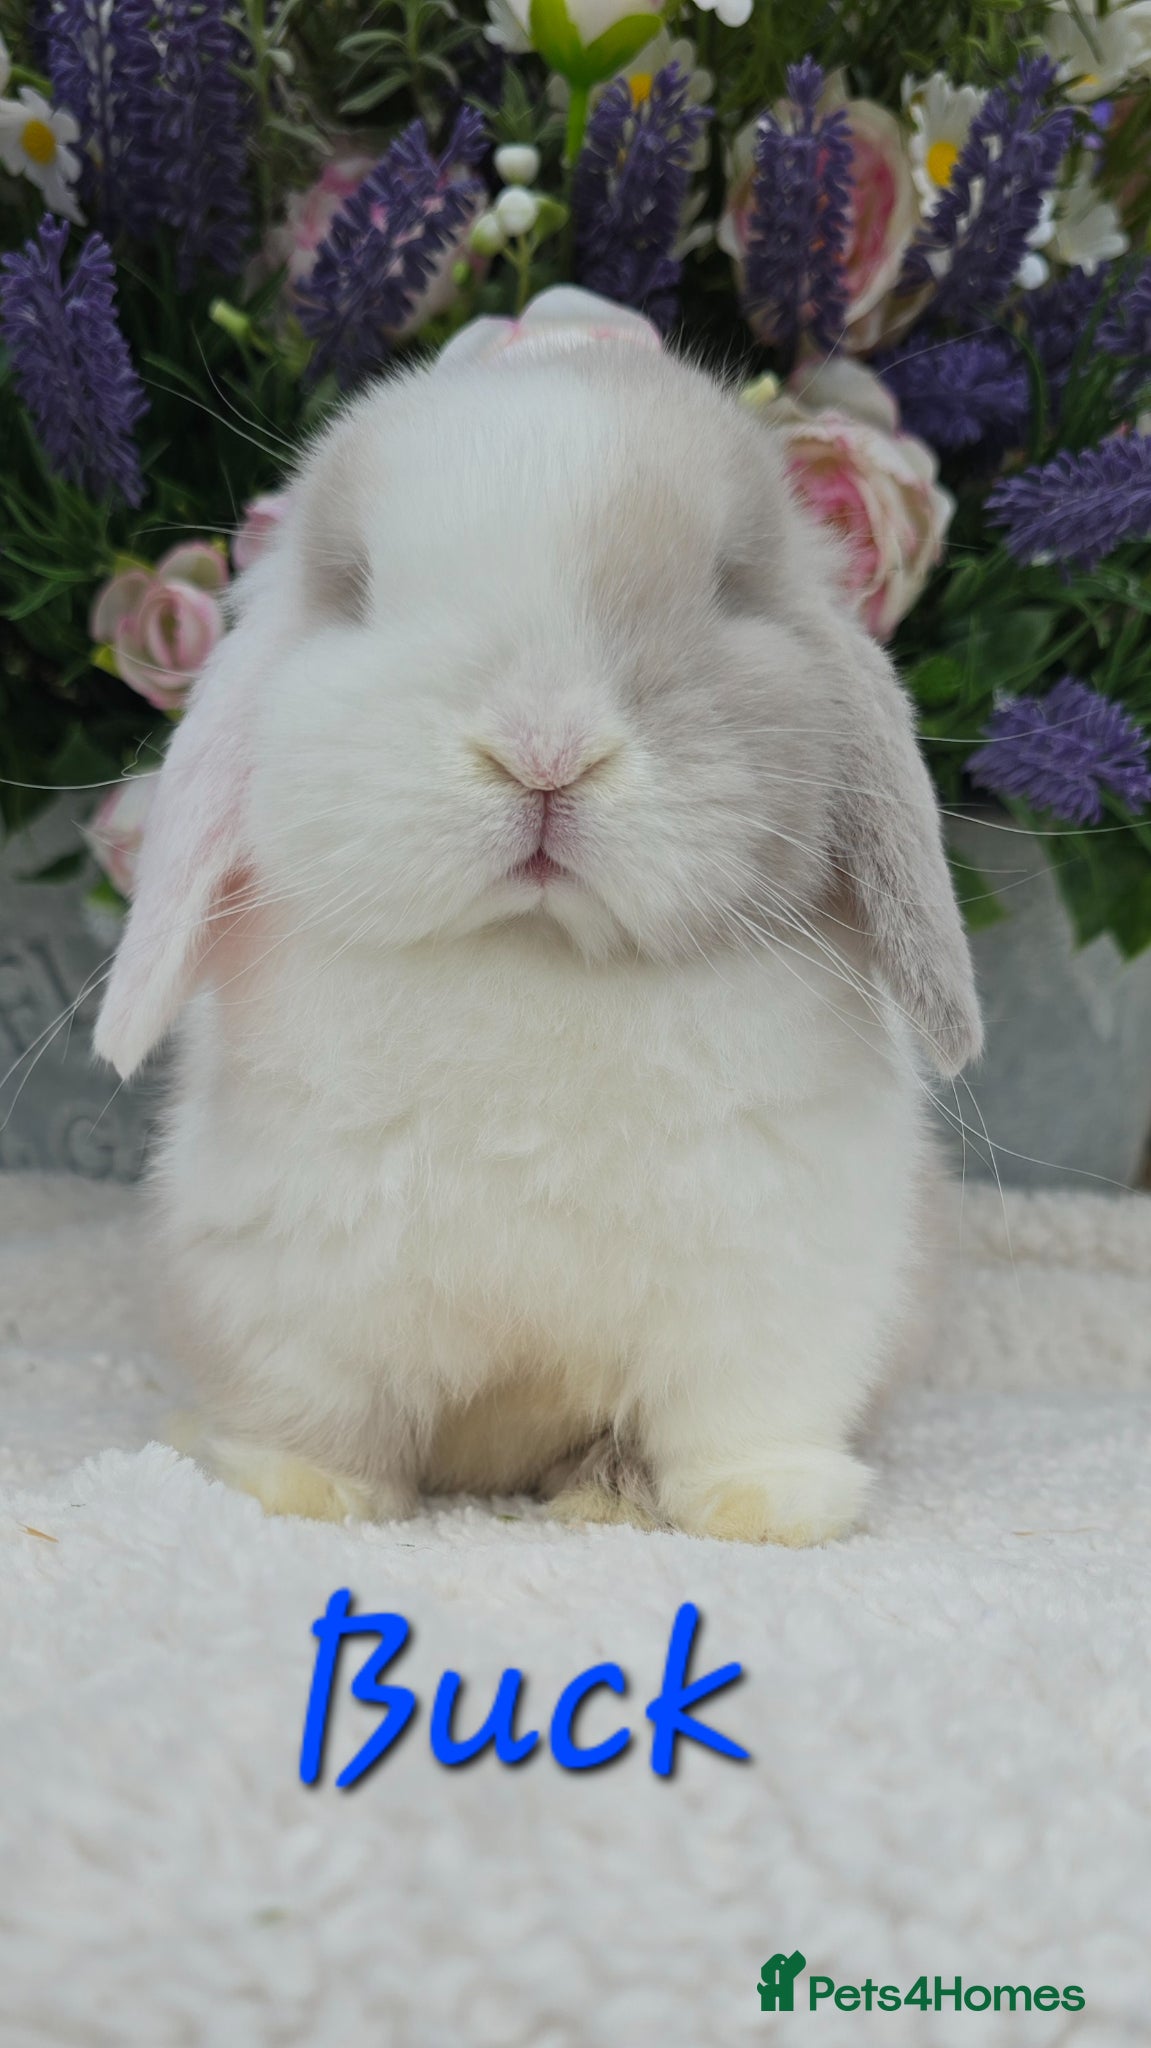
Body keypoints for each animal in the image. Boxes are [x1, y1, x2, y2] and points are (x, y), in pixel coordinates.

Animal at [94, 323, 981, 1547]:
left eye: (730, 586)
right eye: (357, 589)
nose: (544, 747)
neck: (536, 953)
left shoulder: (780, 1279)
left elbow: (743, 1411)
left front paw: (766, 1506)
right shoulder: (291, 1283)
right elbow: (317, 1409)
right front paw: (301, 1492)